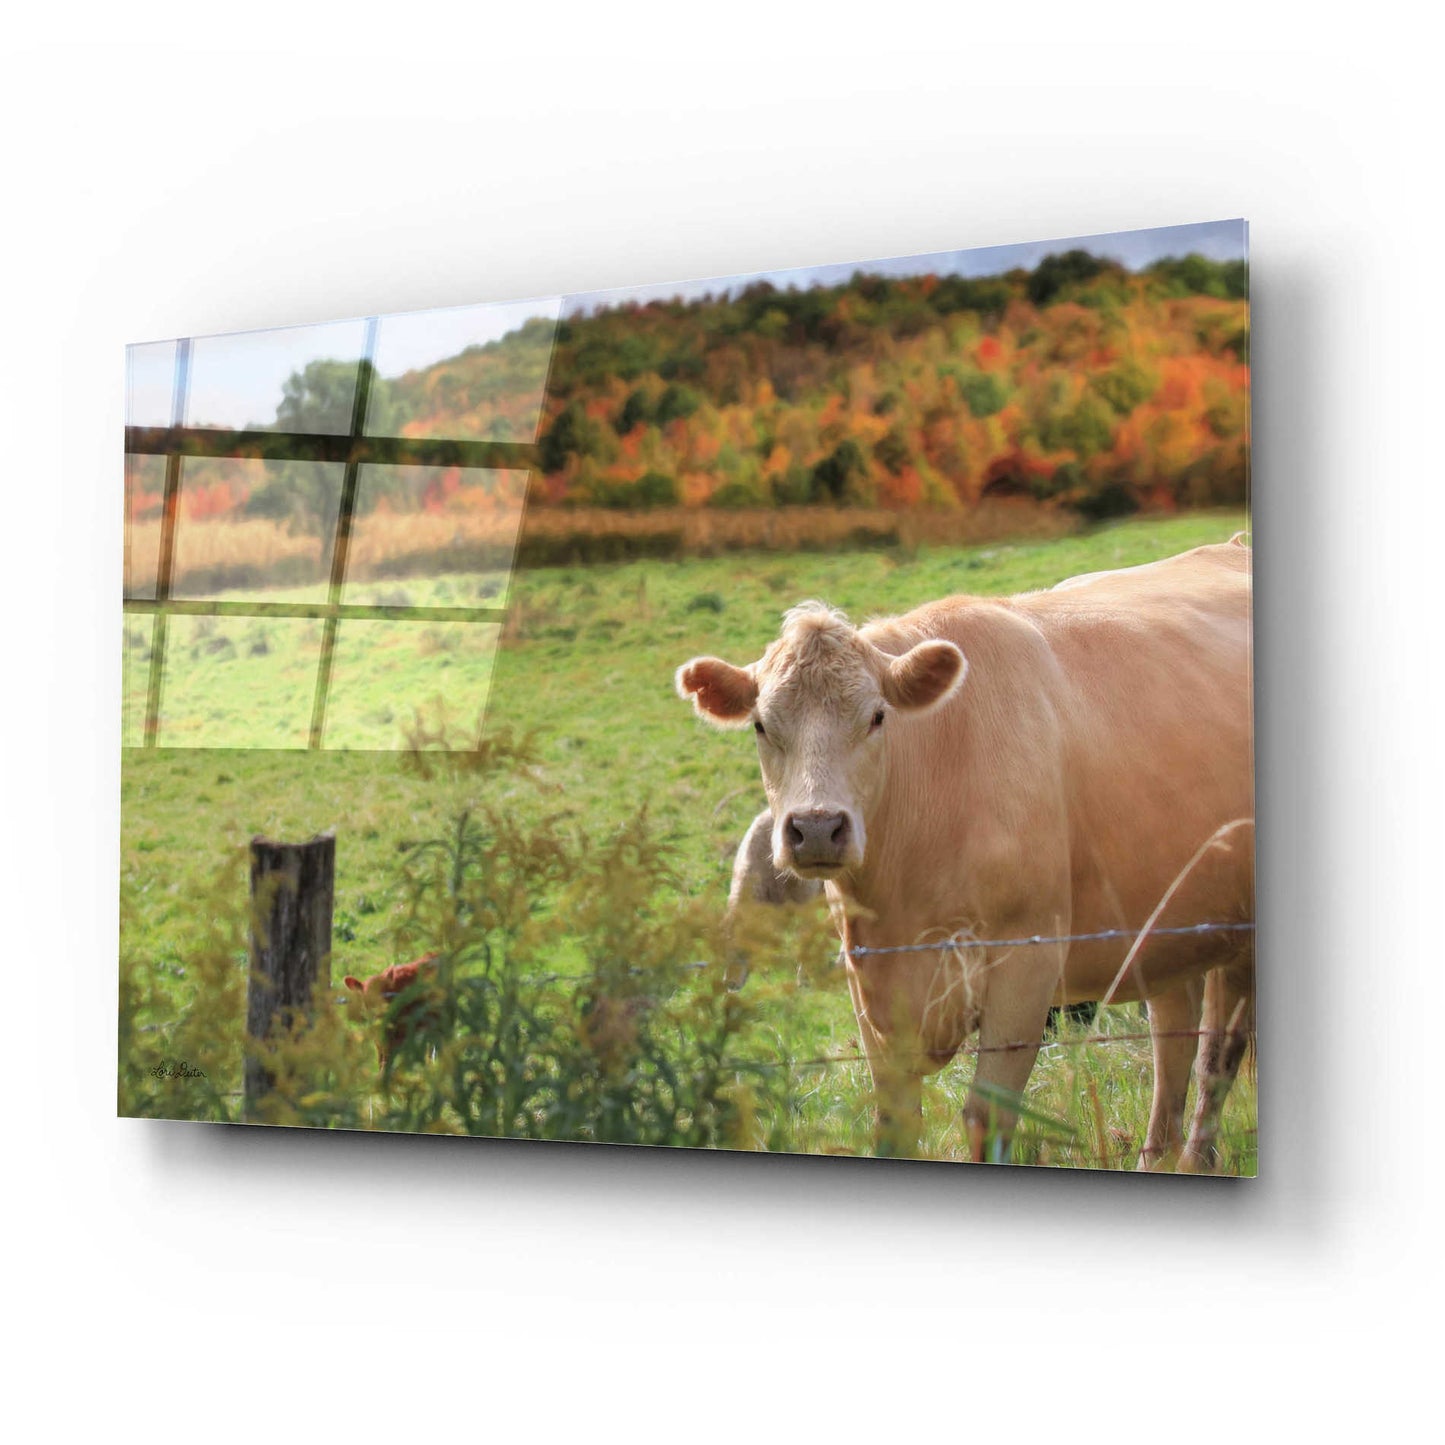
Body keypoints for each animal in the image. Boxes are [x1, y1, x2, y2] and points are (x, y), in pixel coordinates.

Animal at [677, 537, 1254, 1169]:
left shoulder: (1027, 963)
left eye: (877, 717)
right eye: (761, 725)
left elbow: (987, 1117)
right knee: (1173, 1041)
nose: (818, 828)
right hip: (1168, 930)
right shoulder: (870, 983)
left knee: (1217, 1056)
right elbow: (896, 1122)